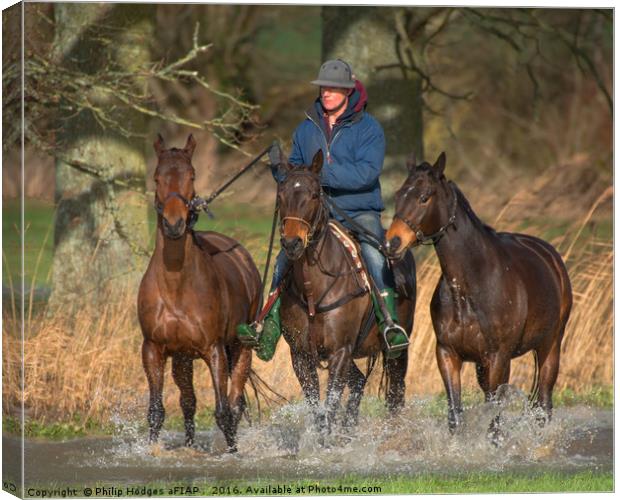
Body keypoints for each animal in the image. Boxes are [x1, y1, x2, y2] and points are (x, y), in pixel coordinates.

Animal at [137, 135, 260, 452]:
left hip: (240, 349)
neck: (176, 288)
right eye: (157, 177)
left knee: (235, 403)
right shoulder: (153, 349)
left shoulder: (214, 350)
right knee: (188, 402)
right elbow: (156, 411)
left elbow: (223, 411)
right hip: (182, 359)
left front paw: (232, 452)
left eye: (191, 175)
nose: (174, 224)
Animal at [272, 148, 416, 434]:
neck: (313, 290)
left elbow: (329, 409)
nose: (292, 243)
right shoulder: (301, 356)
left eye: (314, 195)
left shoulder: (340, 352)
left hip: (396, 352)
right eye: (280, 196)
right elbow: (318, 413)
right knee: (359, 383)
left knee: (395, 394)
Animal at [388, 152, 572, 434]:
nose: (392, 243)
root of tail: (550, 256)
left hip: (549, 346)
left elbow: (495, 419)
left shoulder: (499, 358)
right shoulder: (448, 354)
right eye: (398, 195)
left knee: (544, 402)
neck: (471, 286)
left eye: (424, 196)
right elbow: (455, 414)